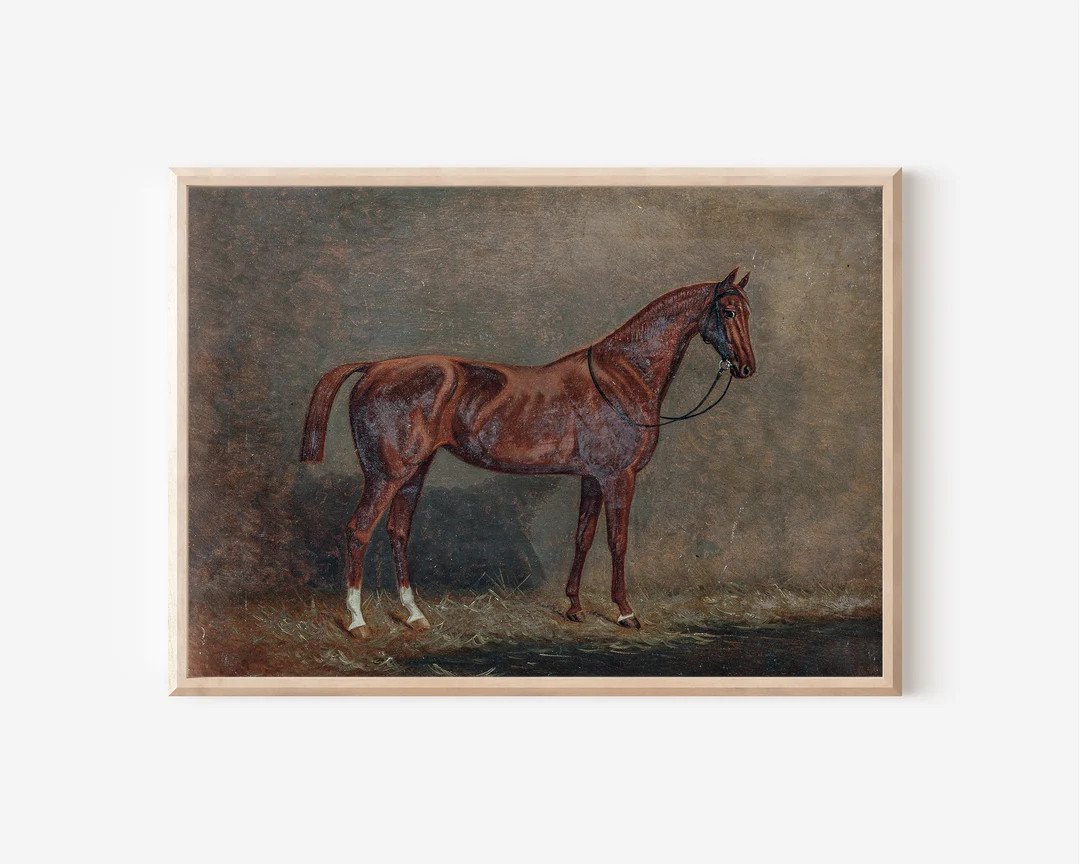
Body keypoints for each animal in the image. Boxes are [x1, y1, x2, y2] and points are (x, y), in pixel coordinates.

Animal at [300, 268, 756, 638]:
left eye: (748, 312)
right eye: (729, 312)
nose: (747, 367)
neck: (620, 376)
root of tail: (374, 368)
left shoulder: (592, 478)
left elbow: (583, 537)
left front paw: (574, 607)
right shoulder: (617, 477)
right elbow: (618, 541)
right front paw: (625, 612)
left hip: (413, 473)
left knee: (398, 532)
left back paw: (415, 615)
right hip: (385, 476)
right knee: (358, 532)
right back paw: (358, 622)